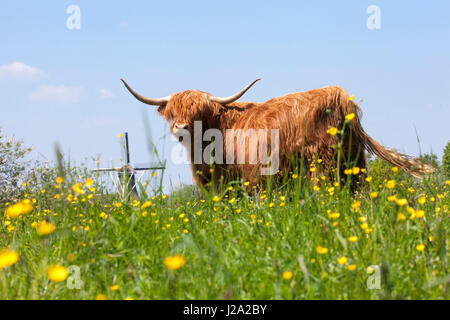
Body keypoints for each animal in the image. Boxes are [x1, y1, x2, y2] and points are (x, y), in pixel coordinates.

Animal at [121, 78, 434, 190]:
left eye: (200, 111)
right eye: (173, 112)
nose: (182, 127)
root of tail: (338, 95)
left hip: (320, 164)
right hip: (354, 164)